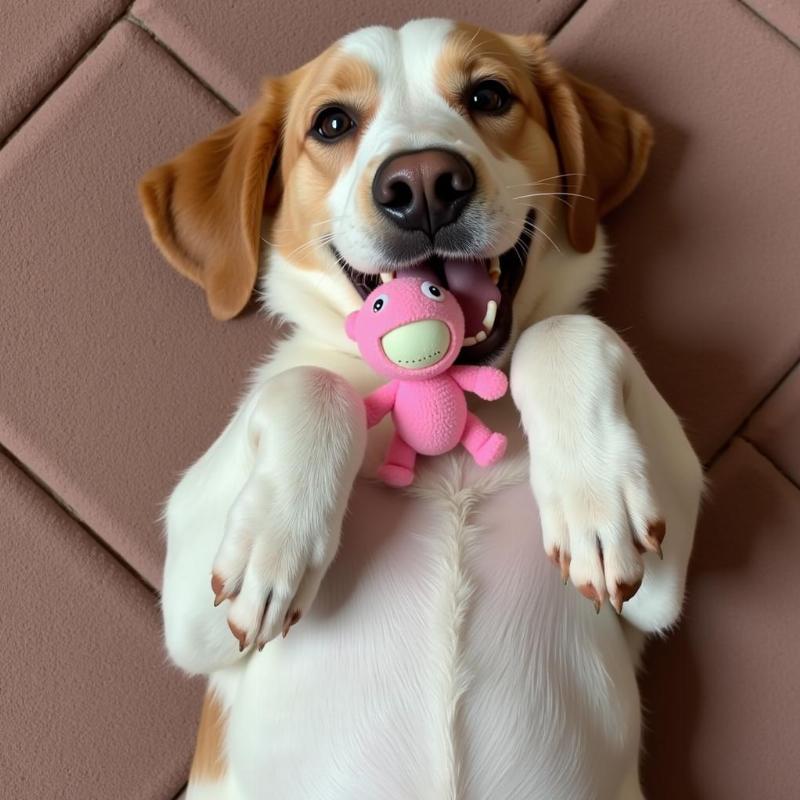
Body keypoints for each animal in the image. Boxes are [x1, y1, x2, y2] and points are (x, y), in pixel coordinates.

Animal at [141, 18, 704, 800]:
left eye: (490, 95)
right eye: (332, 122)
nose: (424, 185)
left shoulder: (655, 592)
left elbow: (566, 330)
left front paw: (592, 501)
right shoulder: (193, 621)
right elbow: (311, 382)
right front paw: (275, 546)